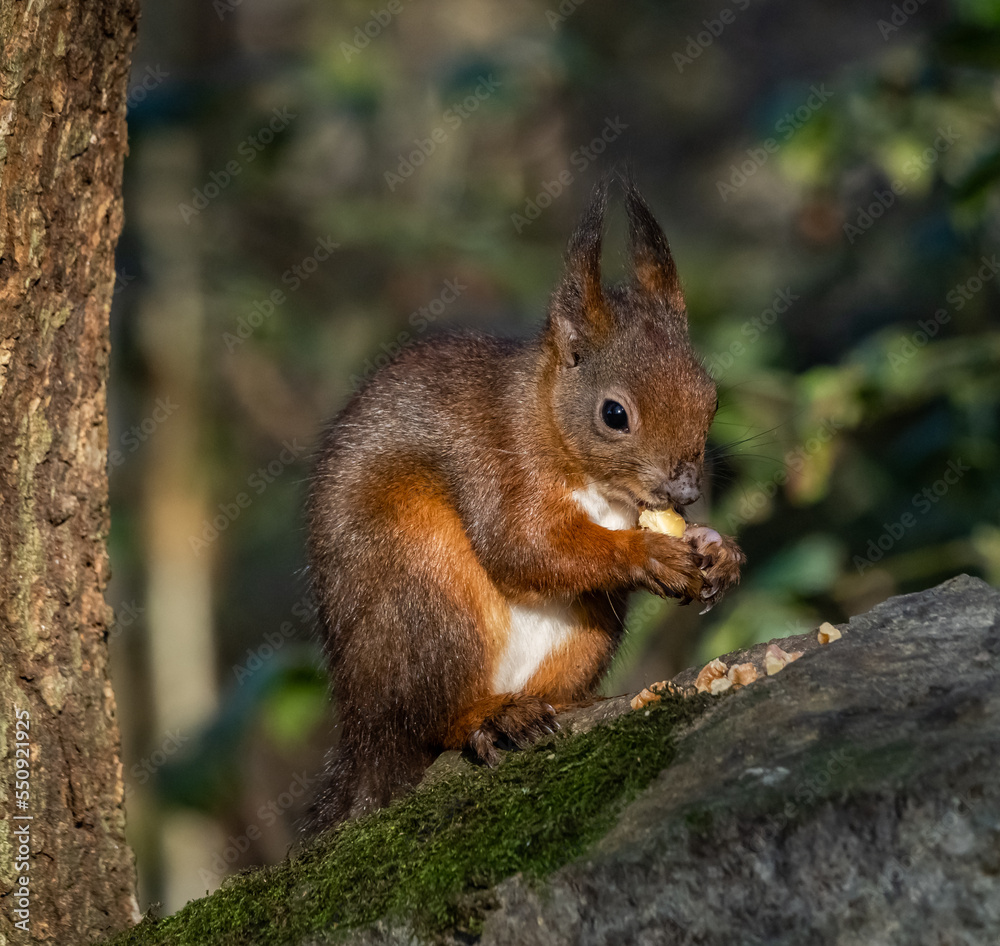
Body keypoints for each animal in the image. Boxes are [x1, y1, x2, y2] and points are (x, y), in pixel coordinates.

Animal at [308, 177, 748, 820]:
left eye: (712, 397)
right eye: (614, 414)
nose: (686, 490)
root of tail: (365, 738)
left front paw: (717, 548)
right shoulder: (496, 461)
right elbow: (521, 546)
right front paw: (647, 554)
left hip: (585, 634)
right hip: (422, 582)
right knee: (432, 723)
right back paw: (490, 719)